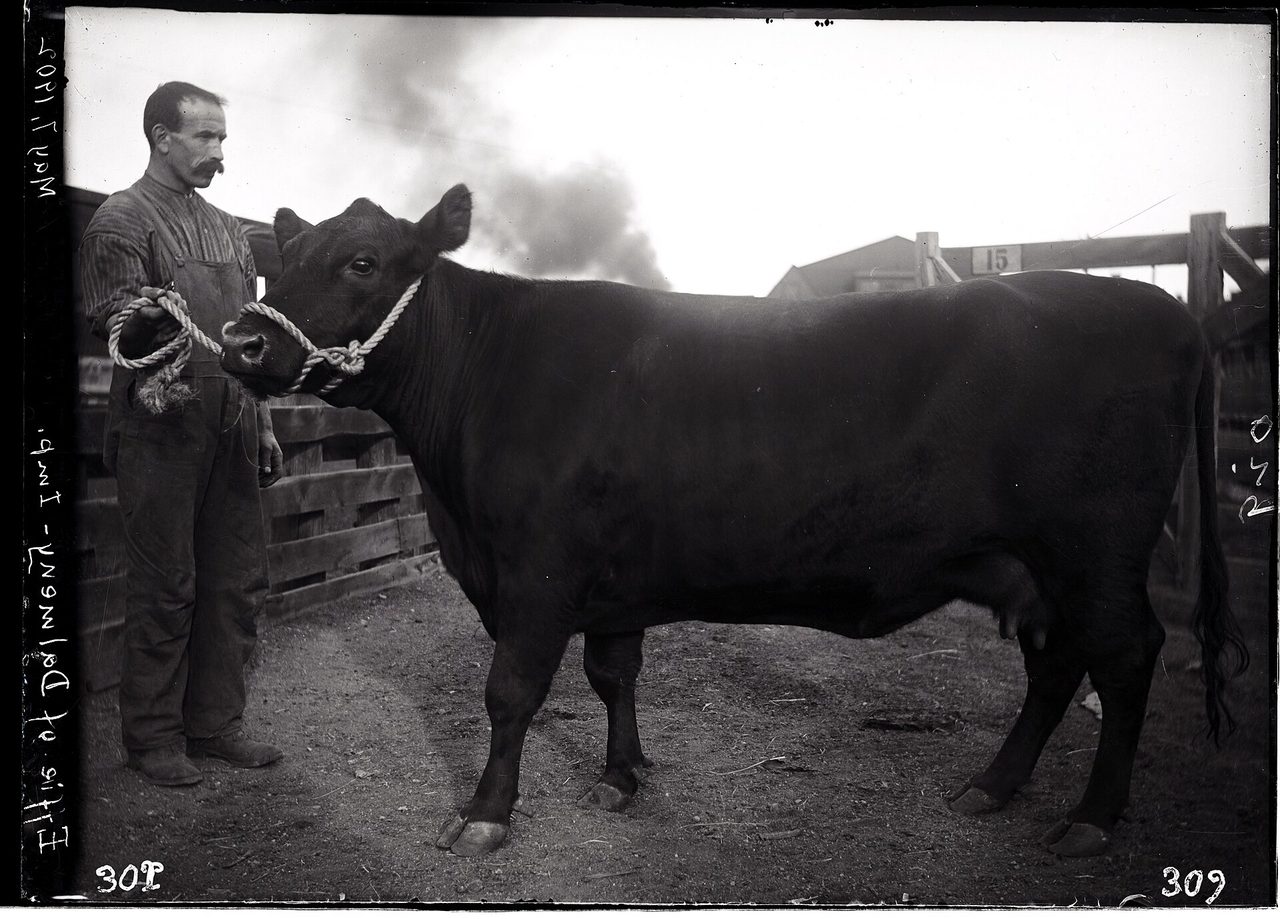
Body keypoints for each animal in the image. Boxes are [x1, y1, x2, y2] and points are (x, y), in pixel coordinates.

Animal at [220, 184, 1248, 860]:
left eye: (362, 261)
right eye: (284, 259)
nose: (241, 339)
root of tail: (1166, 309)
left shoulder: (537, 573)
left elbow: (511, 691)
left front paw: (485, 813)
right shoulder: (610, 580)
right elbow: (613, 673)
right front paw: (624, 774)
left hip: (1095, 553)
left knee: (1124, 658)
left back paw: (1092, 817)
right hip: (1030, 565)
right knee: (1056, 664)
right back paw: (991, 787)